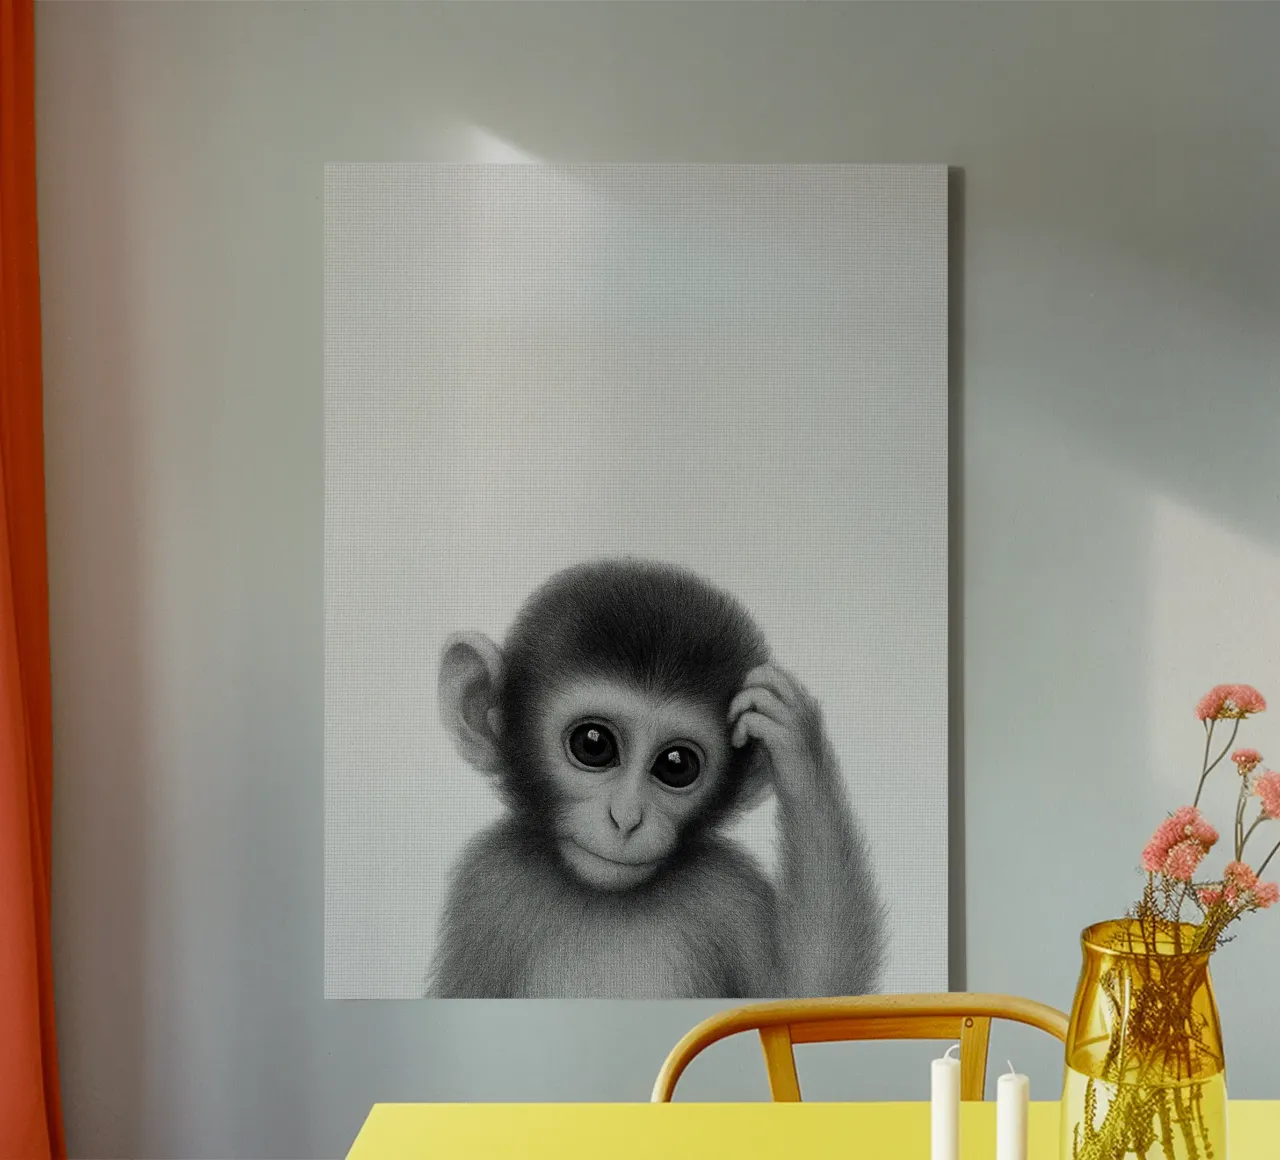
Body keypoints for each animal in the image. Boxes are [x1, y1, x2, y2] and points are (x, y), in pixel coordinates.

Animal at [427, 557, 886, 999]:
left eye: (676, 765)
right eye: (593, 744)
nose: (627, 818)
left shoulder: (729, 887)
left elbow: (809, 991)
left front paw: (795, 739)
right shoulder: (488, 885)